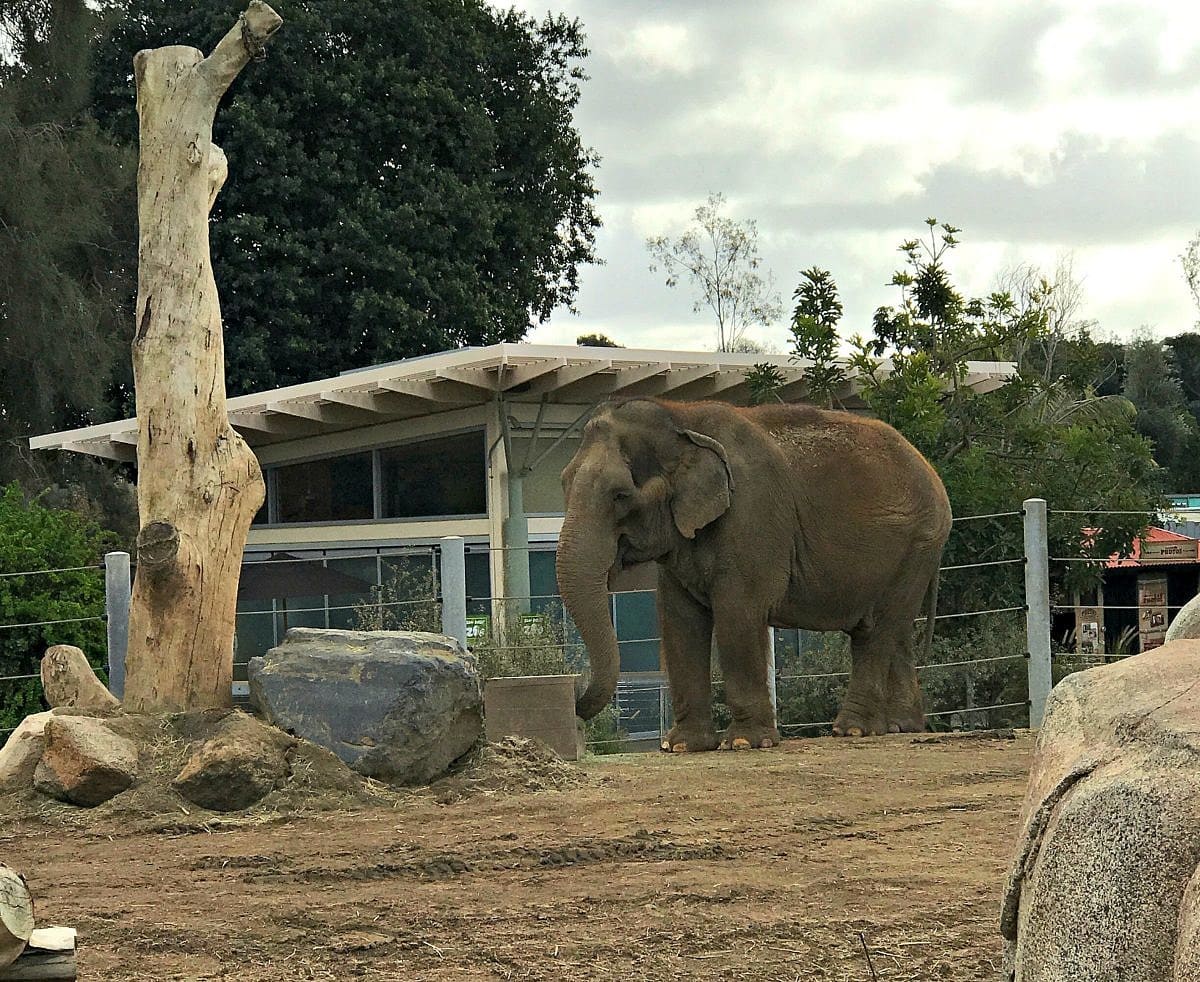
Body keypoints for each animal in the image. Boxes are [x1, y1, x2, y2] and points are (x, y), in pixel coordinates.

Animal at [556, 393, 950, 744]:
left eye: (620, 495)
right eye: (563, 484)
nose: (574, 692)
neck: (680, 417)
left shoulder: (752, 514)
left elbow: (737, 612)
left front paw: (745, 742)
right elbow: (679, 619)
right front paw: (683, 746)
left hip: (919, 543)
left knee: (877, 630)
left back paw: (853, 730)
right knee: (897, 631)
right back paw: (901, 727)